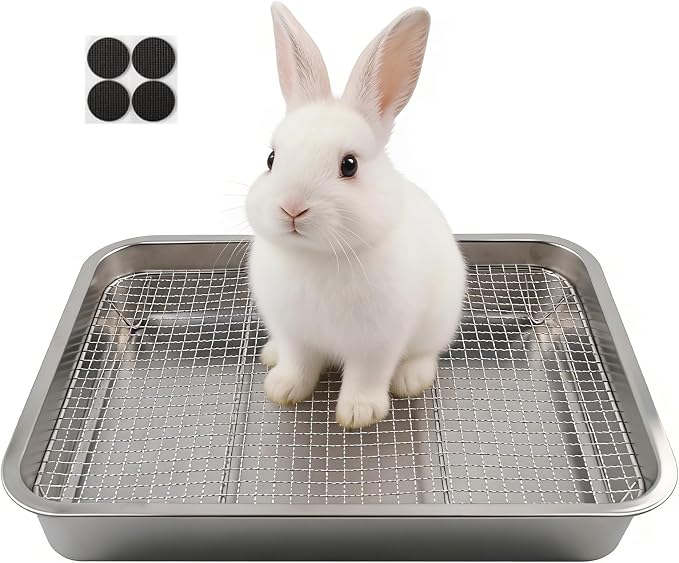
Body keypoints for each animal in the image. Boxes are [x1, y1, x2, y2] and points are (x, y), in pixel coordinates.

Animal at [246, 2, 467, 429]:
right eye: (271, 159)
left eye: (349, 165)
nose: (292, 207)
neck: (316, 257)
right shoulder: (295, 333)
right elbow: (298, 364)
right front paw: (282, 389)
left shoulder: (377, 343)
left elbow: (366, 376)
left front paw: (359, 414)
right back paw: (270, 354)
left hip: (437, 321)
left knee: (426, 353)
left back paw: (410, 379)